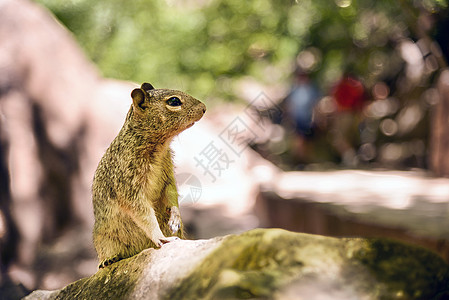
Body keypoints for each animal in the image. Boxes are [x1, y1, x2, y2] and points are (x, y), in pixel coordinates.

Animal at [91, 81, 206, 268]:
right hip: (104, 240)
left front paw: (175, 217)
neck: (159, 146)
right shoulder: (129, 187)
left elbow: (171, 193)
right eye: (174, 101)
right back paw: (109, 260)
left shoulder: (167, 174)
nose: (204, 108)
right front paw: (160, 237)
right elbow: (143, 214)